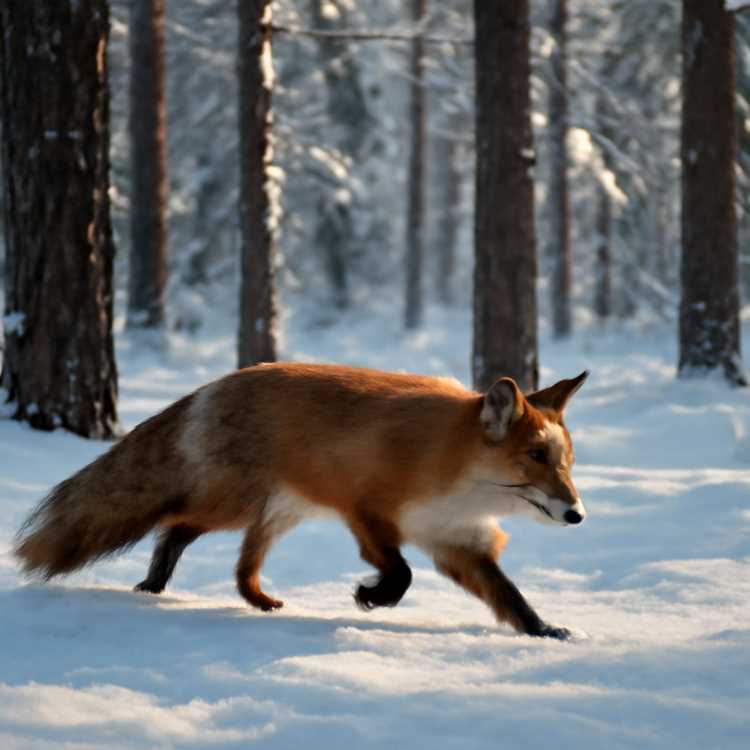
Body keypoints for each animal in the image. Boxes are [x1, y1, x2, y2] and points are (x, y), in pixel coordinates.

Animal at [15, 362, 588, 639]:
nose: (577, 514)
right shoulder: (366, 510)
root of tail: (214, 385)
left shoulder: (457, 542)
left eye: (566, 462)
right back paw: (156, 582)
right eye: (536, 456)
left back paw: (254, 600)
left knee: (238, 567)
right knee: (175, 525)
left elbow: (511, 598)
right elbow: (401, 572)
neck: (454, 476)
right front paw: (372, 597)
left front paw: (543, 632)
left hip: (275, 514)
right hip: (232, 505)